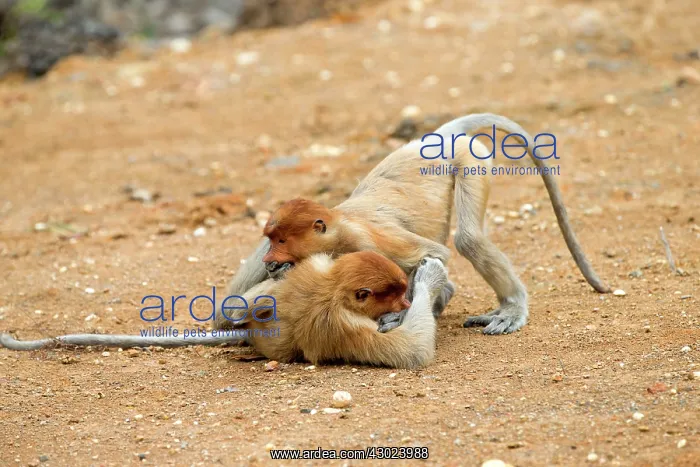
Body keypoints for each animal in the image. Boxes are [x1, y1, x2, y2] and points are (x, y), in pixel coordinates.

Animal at [1, 253, 449, 370]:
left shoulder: (322, 263)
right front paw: (427, 281)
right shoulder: (345, 324)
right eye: (392, 292)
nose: (404, 303)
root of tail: (253, 333)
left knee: (237, 308)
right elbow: (410, 353)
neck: (335, 289)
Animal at [216, 113, 610, 335]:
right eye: (271, 239)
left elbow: (431, 255)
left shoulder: (366, 241)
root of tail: (438, 137)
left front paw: (399, 315)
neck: (339, 227)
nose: (269, 260)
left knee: (467, 239)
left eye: (281, 241)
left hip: (470, 159)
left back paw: (509, 309)